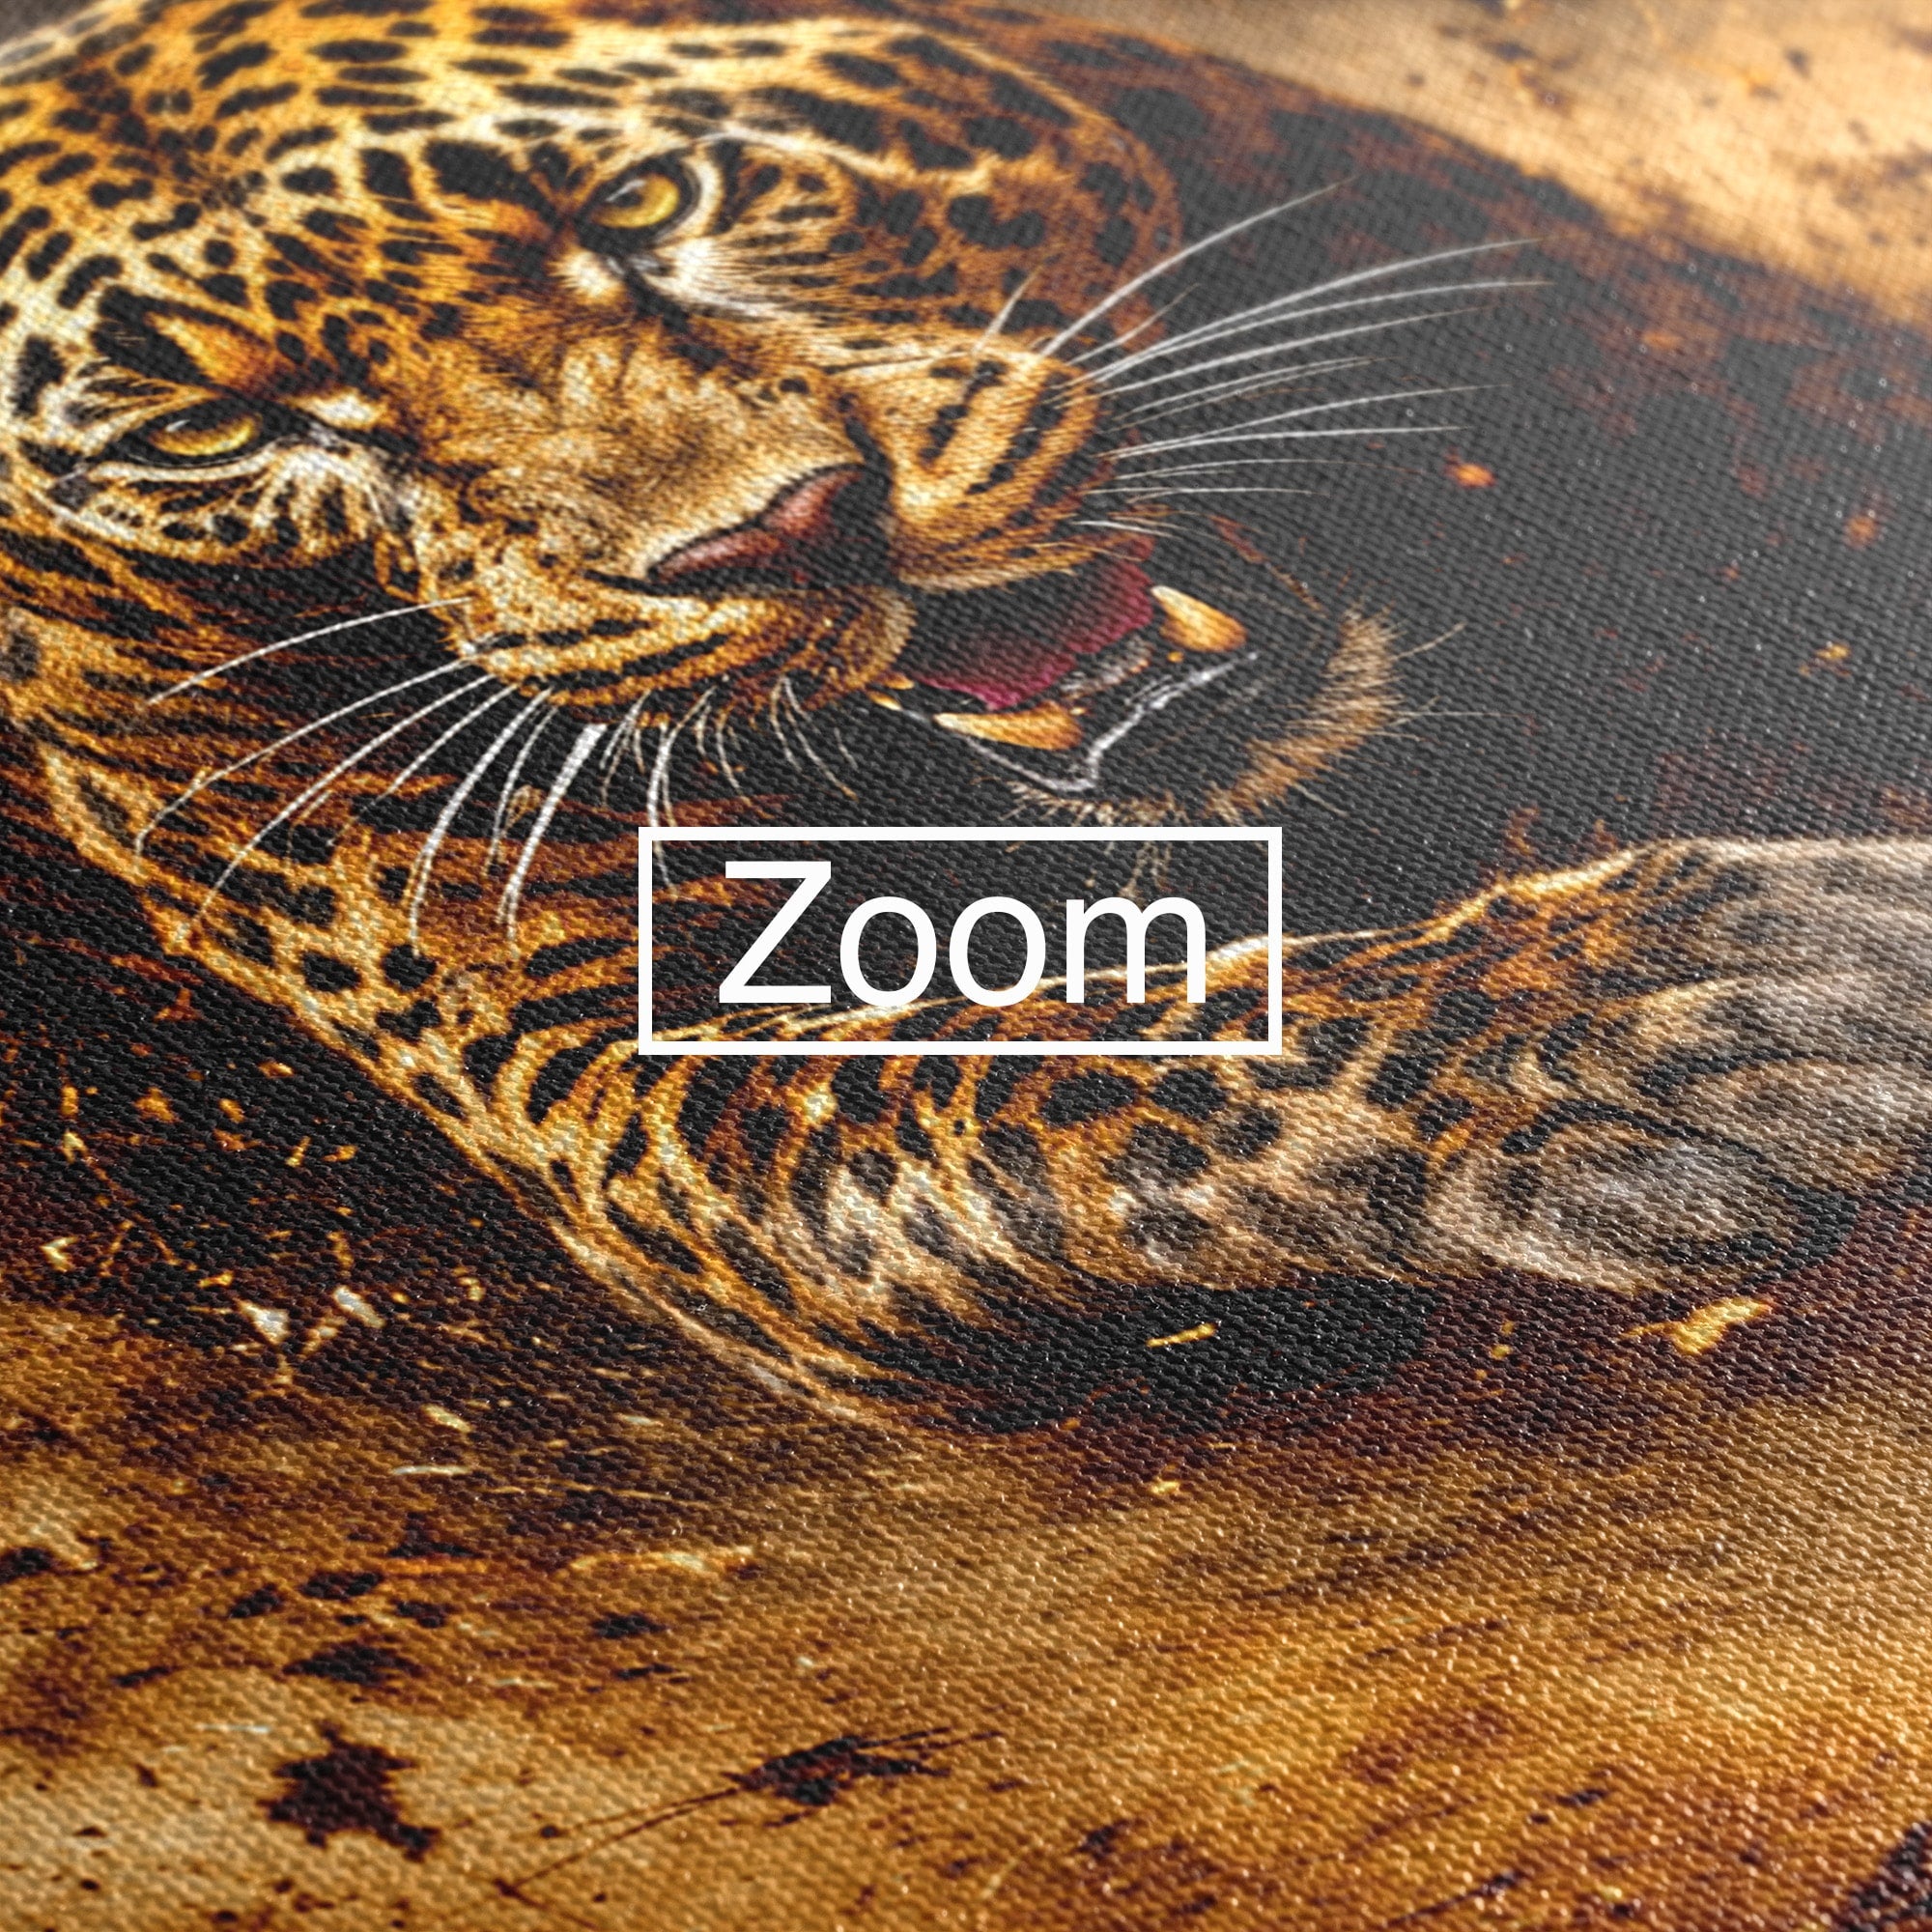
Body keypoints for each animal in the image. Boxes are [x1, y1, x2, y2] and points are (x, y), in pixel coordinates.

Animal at [2, 0, 1932, 1425]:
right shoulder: (616, 1050)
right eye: (209, 433)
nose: (784, 529)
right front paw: (1666, 1009)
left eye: (641, 208)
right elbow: (1055, 1064)